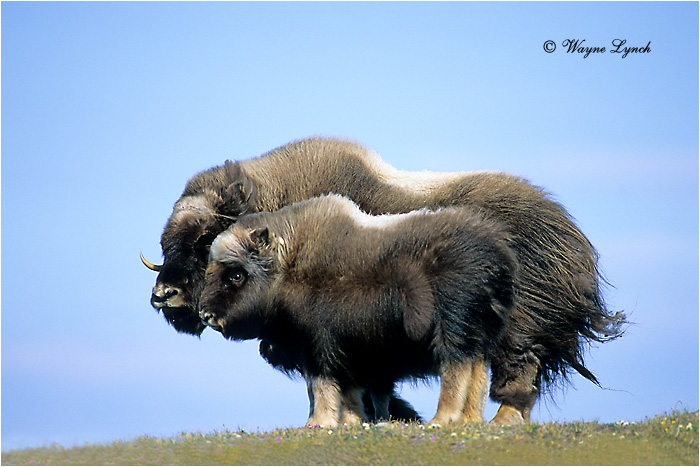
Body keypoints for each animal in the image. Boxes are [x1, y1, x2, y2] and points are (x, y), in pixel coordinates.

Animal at [199, 194, 518, 427]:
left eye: (236, 275)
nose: (205, 315)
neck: (287, 266)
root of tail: (497, 257)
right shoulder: (349, 352)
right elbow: (349, 390)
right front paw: (352, 422)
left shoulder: (319, 345)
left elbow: (319, 386)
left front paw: (318, 424)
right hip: (482, 334)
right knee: (478, 373)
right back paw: (469, 421)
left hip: (453, 327)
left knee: (456, 368)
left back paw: (441, 420)